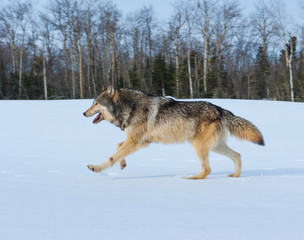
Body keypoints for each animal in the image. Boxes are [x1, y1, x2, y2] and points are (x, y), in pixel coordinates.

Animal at [82, 86, 264, 178]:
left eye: (96, 103)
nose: (83, 113)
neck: (130, 108)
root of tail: (220, 109)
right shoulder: (140, 141)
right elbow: (117, 146)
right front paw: (123, 163)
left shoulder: (135, 141)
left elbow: (112, 156)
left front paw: (96, 168)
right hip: (214, 146)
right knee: (237, 155)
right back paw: (234, 176)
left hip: (199, 146)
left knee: (207, 170)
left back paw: (189, 179)